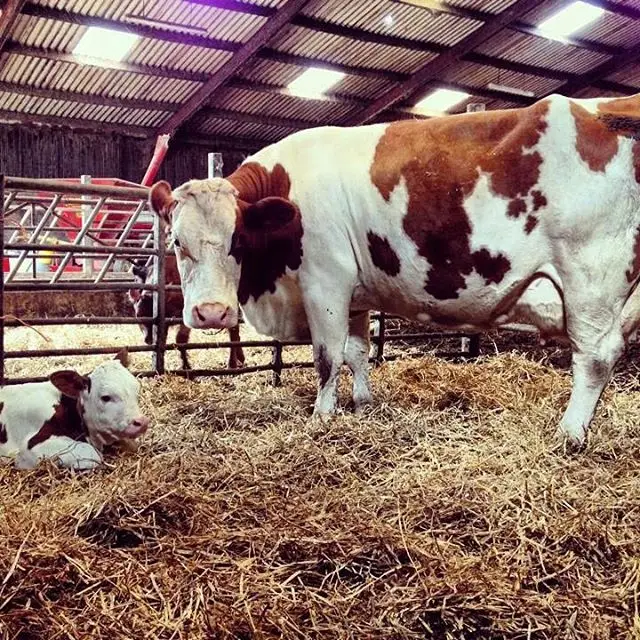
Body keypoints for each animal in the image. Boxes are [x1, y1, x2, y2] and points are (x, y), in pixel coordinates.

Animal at [148, 93, 640, 448]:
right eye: (177, 242)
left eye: (237, 240)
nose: (211, 313)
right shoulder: (354, 296)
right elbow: (357, 351)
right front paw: (363, 403)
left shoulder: (325, 283)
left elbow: (327, 357)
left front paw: (322, 417)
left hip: (589, 278)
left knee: (595, 356)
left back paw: (570, 434)